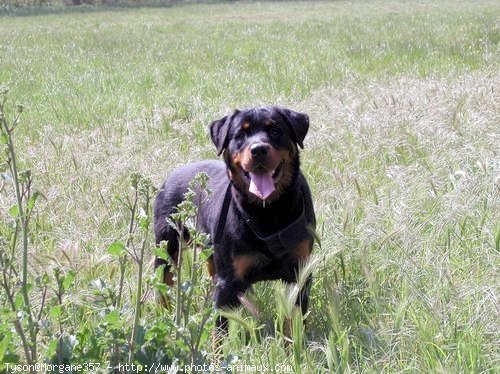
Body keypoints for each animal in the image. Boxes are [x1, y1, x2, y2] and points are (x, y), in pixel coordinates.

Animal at [154, 106, 314, 332]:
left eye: (275, 131)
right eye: (240, 135)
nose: (258, 149)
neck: (267, 213)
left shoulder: (299, 274)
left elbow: (294, 324)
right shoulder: (228, 283)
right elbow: (220, 332)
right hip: (166, 247)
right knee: (162, 283)